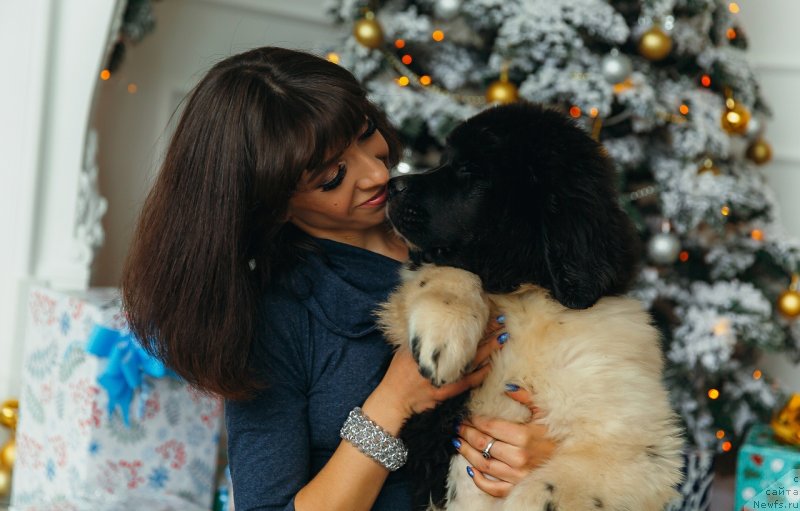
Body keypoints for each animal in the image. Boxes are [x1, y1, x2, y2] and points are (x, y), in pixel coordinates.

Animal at [378, 104, 684, 511]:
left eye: (470, 171)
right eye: (444, 160)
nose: (391, 185)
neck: (525, 297)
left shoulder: (637, 445)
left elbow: (550, 489)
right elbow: (449, 272)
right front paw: (442, 338)